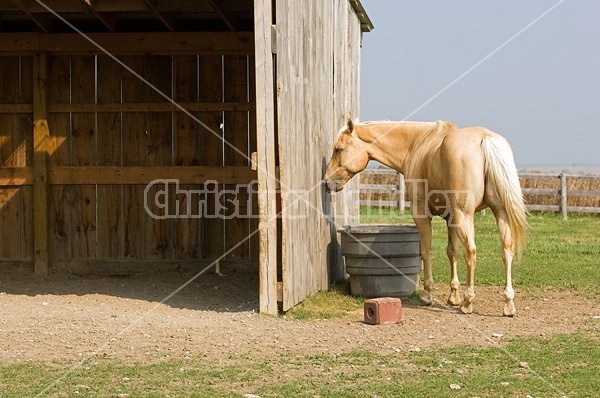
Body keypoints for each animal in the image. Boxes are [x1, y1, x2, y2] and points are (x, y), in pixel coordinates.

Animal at [326, 117, 528, 314]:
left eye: (338, 149)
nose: (327, 181)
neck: (416, 144)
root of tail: (485, 138)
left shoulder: (422, 214)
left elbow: (426, 250)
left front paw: (427, 295)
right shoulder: (451, 218)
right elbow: (452, 252)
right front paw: (453, 296)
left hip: (465, 215)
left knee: (470, 251)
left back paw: (468, 302)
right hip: (499, 212)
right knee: (506, 249)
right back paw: (508, 303)